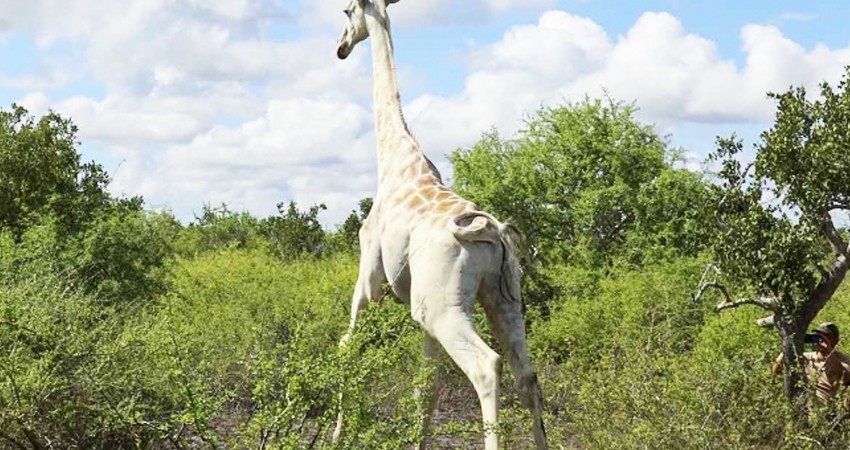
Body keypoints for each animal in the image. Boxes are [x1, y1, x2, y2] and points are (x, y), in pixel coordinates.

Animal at [333, 1, 548, 449]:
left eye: (345, 12)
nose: (341, 47)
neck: (394, 159)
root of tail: (493, 233)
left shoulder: (370, 277)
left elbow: (348, 344)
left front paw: (337, 433)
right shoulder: (420, 310)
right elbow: (425, 387)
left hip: (443, 308)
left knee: (487, 366)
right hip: (501, 300)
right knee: (527, 373)